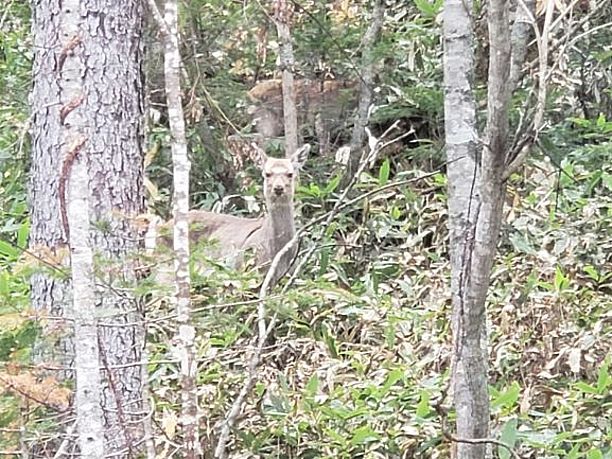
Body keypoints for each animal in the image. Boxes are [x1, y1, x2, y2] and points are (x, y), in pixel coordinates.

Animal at [147, 142, 310, 290]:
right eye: (267, 174)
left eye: (290, 174)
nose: (278, 188)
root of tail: (160, 227)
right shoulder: (247, 273)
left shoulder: (292, 276)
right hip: (165, 269)